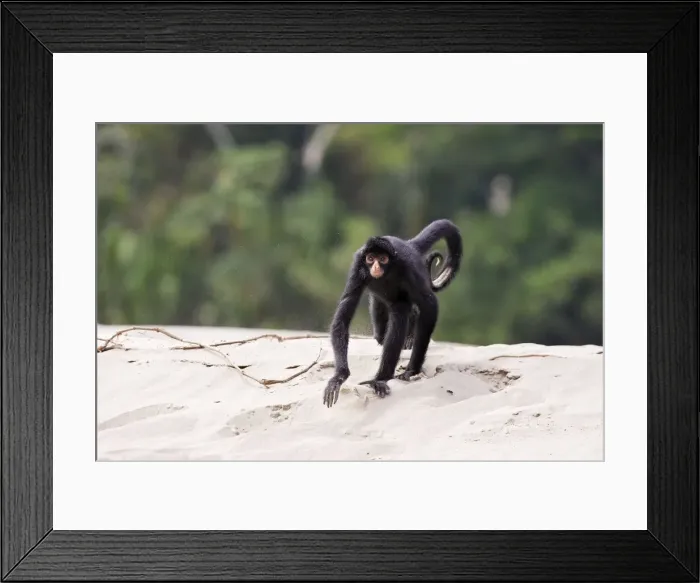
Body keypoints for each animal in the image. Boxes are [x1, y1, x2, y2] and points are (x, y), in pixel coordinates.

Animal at [322, 219, 462, 408]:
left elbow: (430, 305)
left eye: (382, 259)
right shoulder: (357, 268)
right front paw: (339, 377)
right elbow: (342, 319)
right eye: (370, 259)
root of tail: (408, 244)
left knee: (401, 310)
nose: (375, 266)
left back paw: (380, 380)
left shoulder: (408, 268)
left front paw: (411, 370)